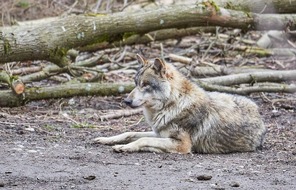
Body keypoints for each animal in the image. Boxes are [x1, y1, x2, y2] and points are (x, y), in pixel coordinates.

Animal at [93, 54, 268, 154]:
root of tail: (259, 114)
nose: (126, 101)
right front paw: (106, 139)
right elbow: (129, 133)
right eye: (136, 83)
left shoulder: (182, 145)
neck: (172, 104)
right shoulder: (159, 133)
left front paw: (126, 147)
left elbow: (142, 140)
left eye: (145, 85)